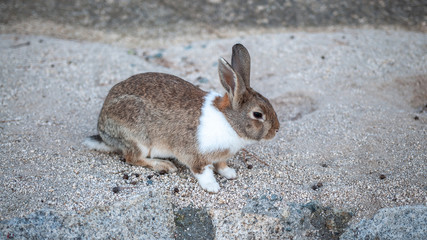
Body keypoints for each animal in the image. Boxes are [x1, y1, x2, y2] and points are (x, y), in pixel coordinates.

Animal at [85, 43, 282, 193]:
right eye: (258, 114)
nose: (276, 130)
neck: (228, 121)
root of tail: (103, 132)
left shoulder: (220, 156)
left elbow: (221, 165)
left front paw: (230, 173)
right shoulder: (194, 155)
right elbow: (202, 172)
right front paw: (213, 187)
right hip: (138, 139)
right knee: (132, 158)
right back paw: (164, 165)